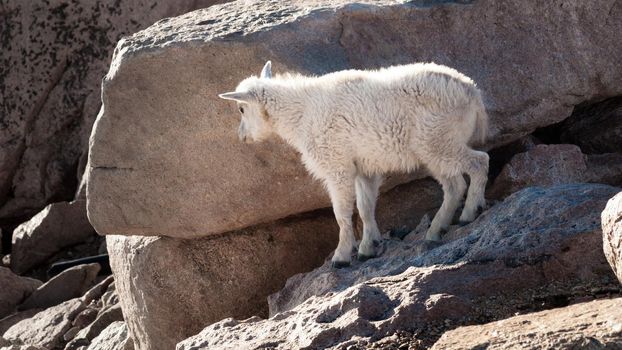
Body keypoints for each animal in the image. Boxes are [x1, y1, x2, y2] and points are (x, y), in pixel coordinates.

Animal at [222, 60, 490, 268]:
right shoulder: (363, 168)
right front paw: (367, 248)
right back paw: (436, 230)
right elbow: (365, 207)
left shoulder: (337, 166)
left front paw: (341, 257)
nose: (242, 136)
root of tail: (473, 93)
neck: (301, 114)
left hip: (438, 141)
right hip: (436, 148)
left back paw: (468, 214)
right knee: (454, 185)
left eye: (241, 108)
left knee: (479, 163)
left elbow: (342, 213)